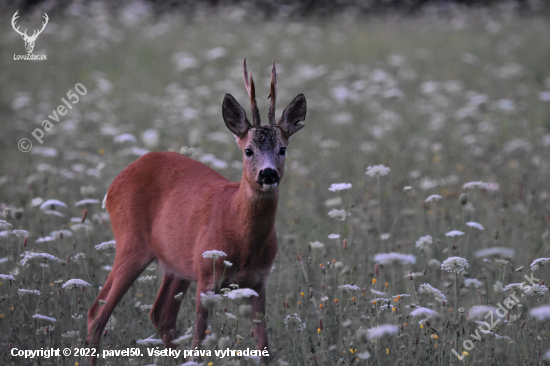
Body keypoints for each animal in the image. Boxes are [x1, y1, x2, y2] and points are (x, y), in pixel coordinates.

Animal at [88, 58, 308, 364]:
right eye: (248, 150)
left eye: (283, 148)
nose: (268, 174)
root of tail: (113, 185)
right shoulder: (206, 276)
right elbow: (199, 342)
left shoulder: (259, 281)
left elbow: (263, 348)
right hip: (131, 243)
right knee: (98, 312)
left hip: (176, 264)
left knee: (160, 314)